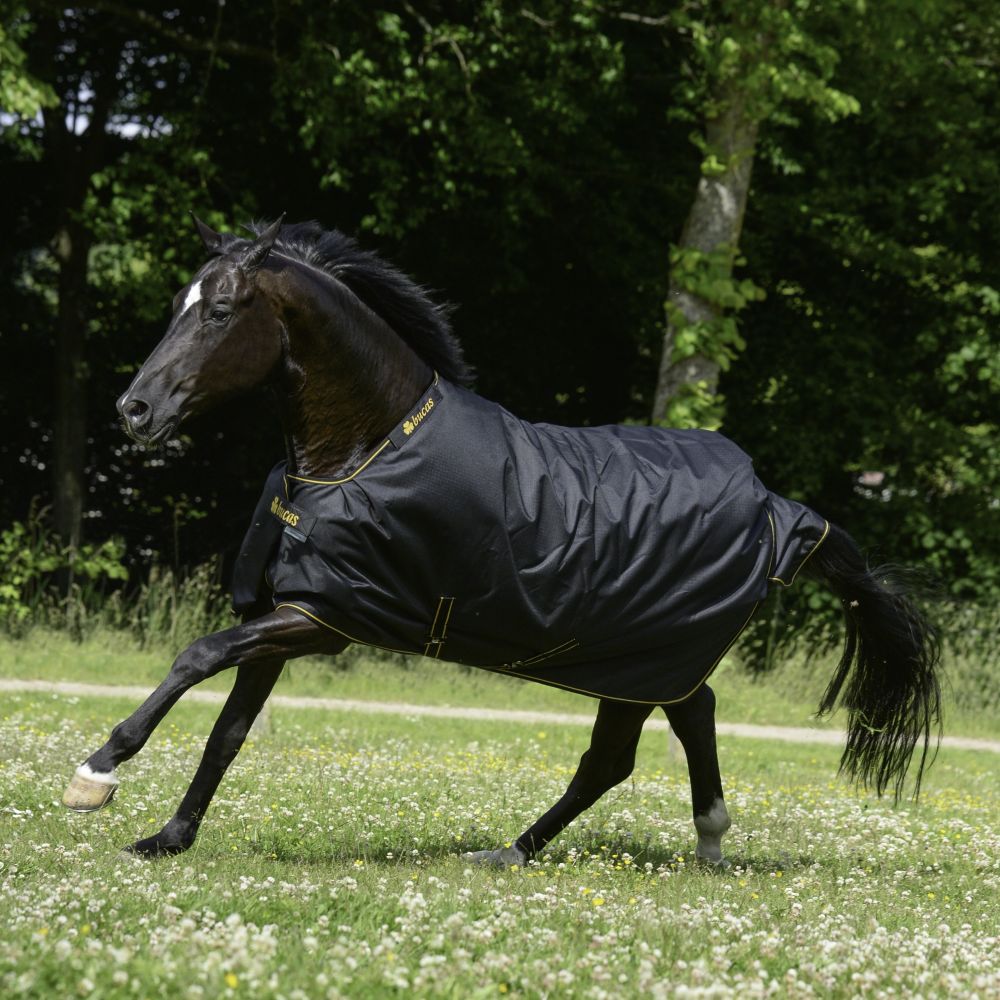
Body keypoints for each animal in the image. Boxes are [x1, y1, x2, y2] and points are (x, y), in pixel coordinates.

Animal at [63, 217, 942, 867]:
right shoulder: (289, 612)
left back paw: (544, 851)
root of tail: (779, 509)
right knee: (681, 723)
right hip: (644, 660)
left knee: (623, 754)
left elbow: (197, 656)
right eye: (180, 303)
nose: (135, 410)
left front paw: (96, 773)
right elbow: (229, 732)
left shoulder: (324, 619)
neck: (364, 450)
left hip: (643, 658)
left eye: (219, 310)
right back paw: (671, 846)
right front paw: (167, 838)